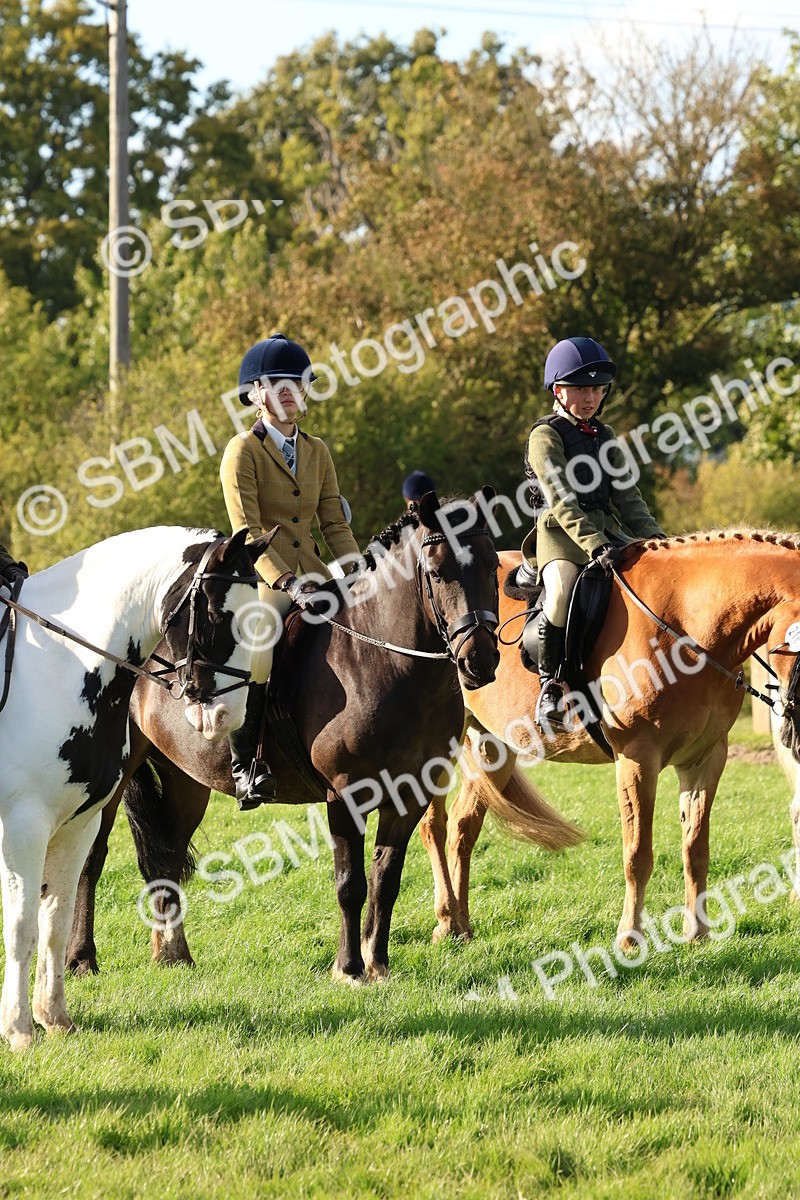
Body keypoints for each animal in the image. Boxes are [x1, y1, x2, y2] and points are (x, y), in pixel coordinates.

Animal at [0, 525, 266, 1049]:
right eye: (214, 612)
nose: (227, 716)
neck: (64, 667)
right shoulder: (23, 825)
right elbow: (22, 927)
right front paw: (20, 1029)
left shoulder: (77, 824)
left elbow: (54, 919)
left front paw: (53, 1017)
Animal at [67, 492, 580, 984]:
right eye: (437, 572)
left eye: (492, 567)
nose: (480, 661)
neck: (384, 661)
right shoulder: (347, 794)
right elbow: (350, 884)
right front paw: (349, 969)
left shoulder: (410, 794)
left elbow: (386, 880)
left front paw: (378, 963)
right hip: (113, 781)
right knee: (91, 857)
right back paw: (81, 959)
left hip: (185, 779)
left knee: (167, 856)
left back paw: (173, 955)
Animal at [419, 531, 800, 949]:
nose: (794, 736)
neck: (685, 626)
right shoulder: (637, 758)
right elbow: (637, 854)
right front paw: (630, 938)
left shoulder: (705, 758)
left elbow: (696, 848)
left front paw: (697, 933)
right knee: (434, 826)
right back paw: (445, 920)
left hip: (494, 747)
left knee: (462, 826)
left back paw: (461, 925)